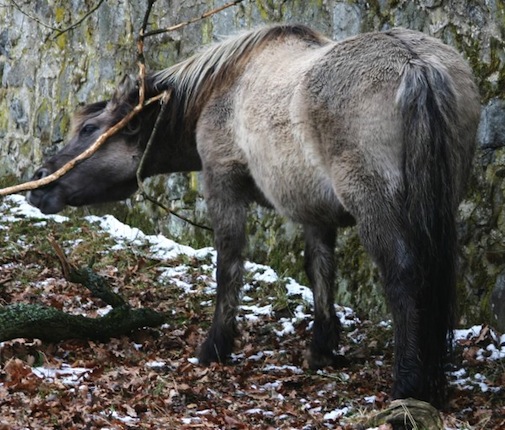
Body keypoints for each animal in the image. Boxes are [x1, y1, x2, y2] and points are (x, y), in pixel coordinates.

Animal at [28, 23, 480, 406]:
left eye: (89, 130)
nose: (38, 182)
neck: (224, 88)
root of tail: (415, 64)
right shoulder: (314, 213)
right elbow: (320, 270)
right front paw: (322, 349)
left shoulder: (223, 184)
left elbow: (229, 264)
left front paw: (215, 346)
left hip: (374, 205)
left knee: (402, 277)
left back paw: (407, 385)